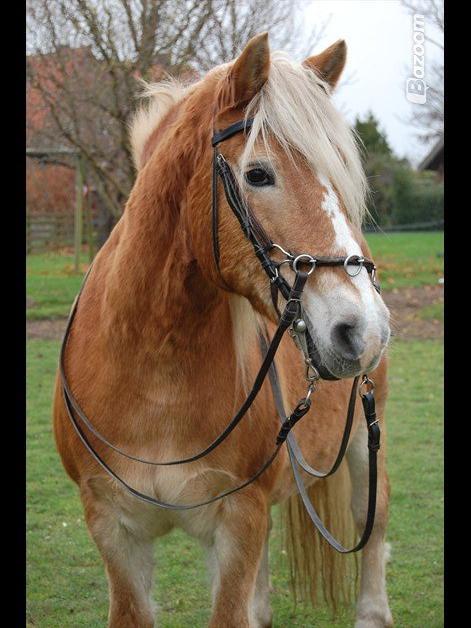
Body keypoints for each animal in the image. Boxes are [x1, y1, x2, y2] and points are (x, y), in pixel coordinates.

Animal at [52, 34, 394, 628]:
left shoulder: (238, 517)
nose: (363, 330)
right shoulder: (111, 528)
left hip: (360, 440)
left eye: (341, 178)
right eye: (258, 174)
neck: (154, 380)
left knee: (369, 525)